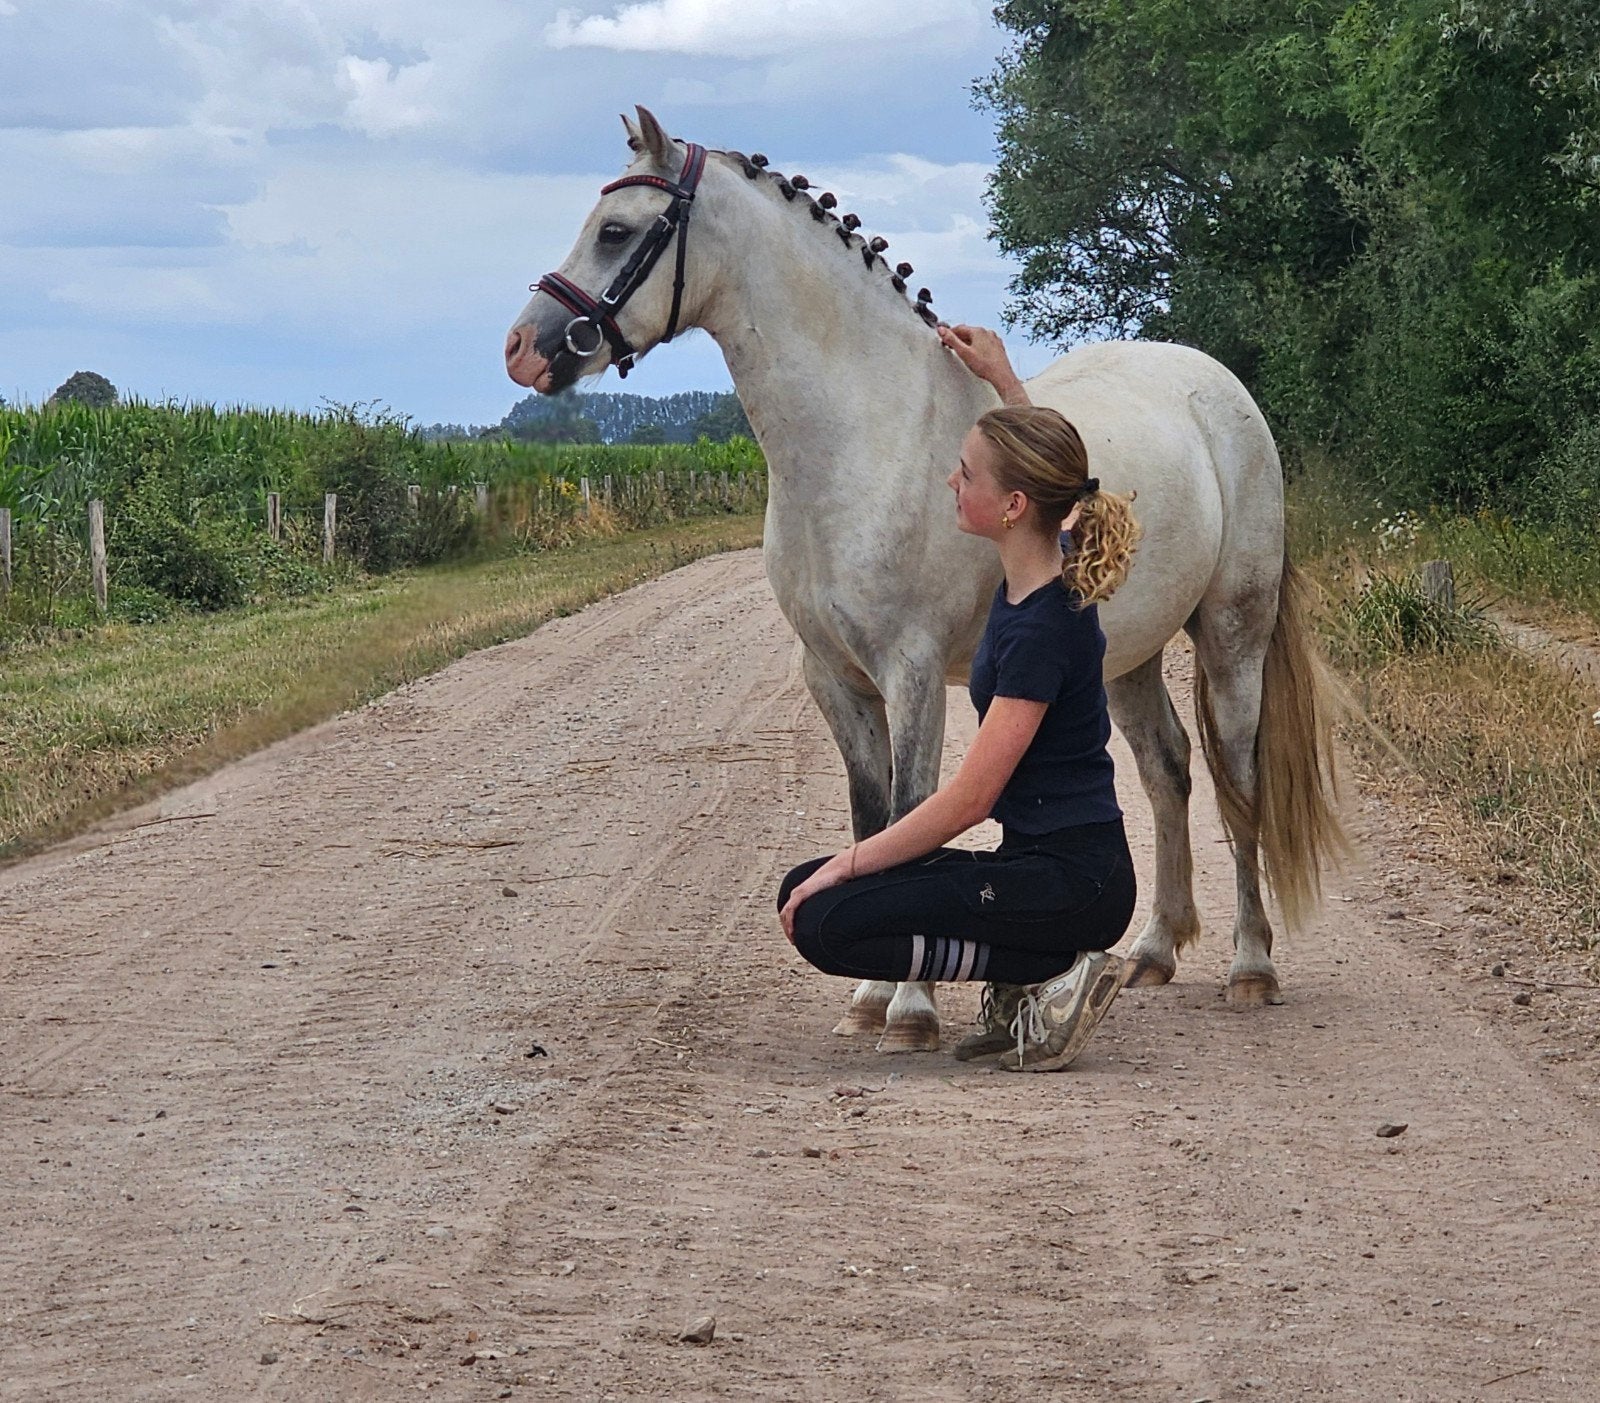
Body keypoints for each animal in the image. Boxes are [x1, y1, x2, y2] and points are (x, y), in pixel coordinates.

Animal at [504, 106, 1347, 1052]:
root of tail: (1216, 385)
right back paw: (1154, 952)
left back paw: (1250, 966)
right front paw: (869, 996)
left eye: (615, 231)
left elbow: (913, 807)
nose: (523, 349)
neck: (866, 433)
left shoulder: (909, 673)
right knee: (1168, 771)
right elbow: (872, 818)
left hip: (1233, 635)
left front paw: (909, 1010)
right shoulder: (835, 677)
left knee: (1239, 784)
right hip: (1125, 657)